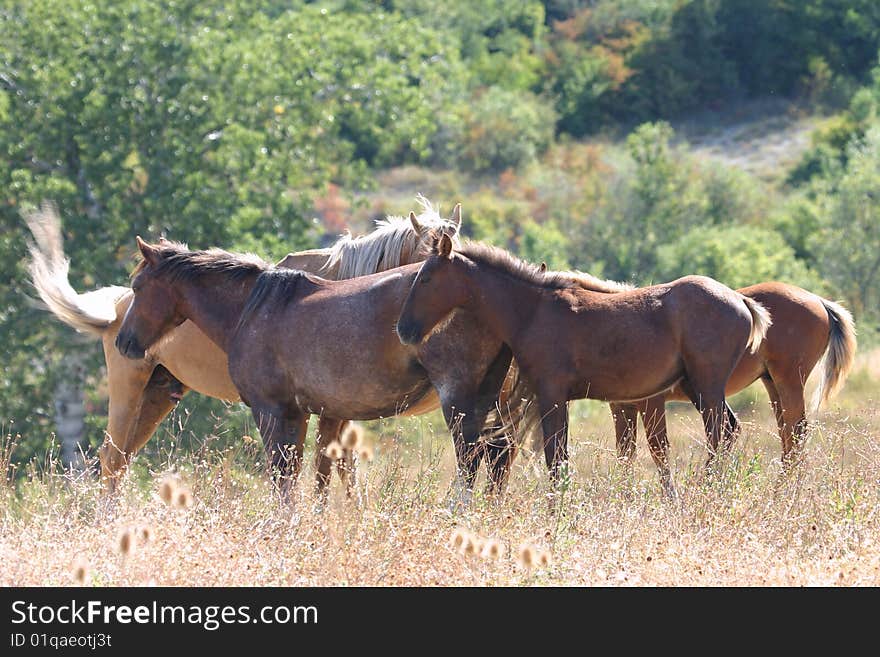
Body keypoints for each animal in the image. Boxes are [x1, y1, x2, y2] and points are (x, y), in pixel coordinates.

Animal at [24, 200, 464, 492]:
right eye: (428, 257)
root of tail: (118, 306)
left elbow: (340, 470)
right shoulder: (323, 413)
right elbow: (326, 470)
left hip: (159, 395)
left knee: (120, 461)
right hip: (128, 391)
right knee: (111, 458)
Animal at [115, 236, 528, 498]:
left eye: (138, 286)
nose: (124, 342)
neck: (256, 307)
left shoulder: (272, 412)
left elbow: (283, 479)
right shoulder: (299, 414)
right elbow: (299, 476)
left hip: (459, 398)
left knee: (472, 459)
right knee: (496, 457)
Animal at [394, 234, 768, 482]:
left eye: (425, 278)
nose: (404, 329)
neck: (532, 310)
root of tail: (741, 301)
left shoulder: (552, 394)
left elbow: (556, 457)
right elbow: (558, 456)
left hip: (707, 384)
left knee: (717, 433)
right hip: (695, 385)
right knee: (728, 430)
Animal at [608, 280, 856, 490]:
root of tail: (819, 301)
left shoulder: (651, 402)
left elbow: (655, 447)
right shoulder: (620, 405)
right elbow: (625, 451)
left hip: (788, 381)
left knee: (795, 431)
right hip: (772, 384)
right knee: (787, 433)